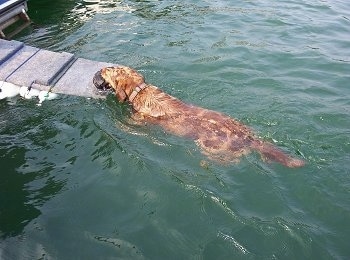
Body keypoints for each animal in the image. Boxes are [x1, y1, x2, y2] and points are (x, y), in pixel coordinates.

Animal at [93, 66, 304, 168]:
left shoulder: (139, 119)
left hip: (212, 148)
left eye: (107, 71)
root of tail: (249, 138)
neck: (141, 91)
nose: (98, 72)